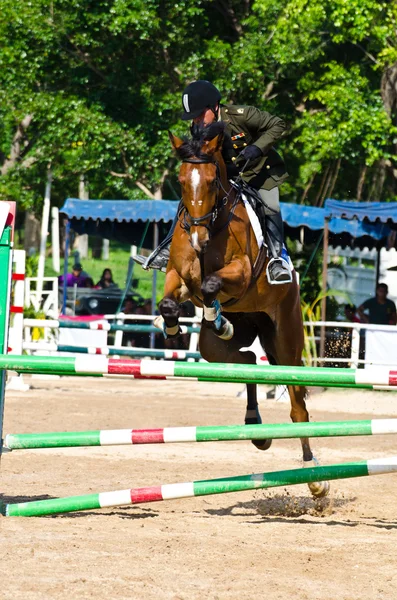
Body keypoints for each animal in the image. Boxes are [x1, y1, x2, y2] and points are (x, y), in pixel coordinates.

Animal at [157, 122, 328, 496]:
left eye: (210, 181)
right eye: (181, 180)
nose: (198, 239)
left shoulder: (241, 273)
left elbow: (210, 286)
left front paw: (215, 316)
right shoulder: (178, 275)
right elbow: (169, 300)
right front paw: (174, 329)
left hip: (286, 339)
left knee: (298, 407)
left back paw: (315, 478)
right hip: (215, 348)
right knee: (248, 361)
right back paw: (256, 428)